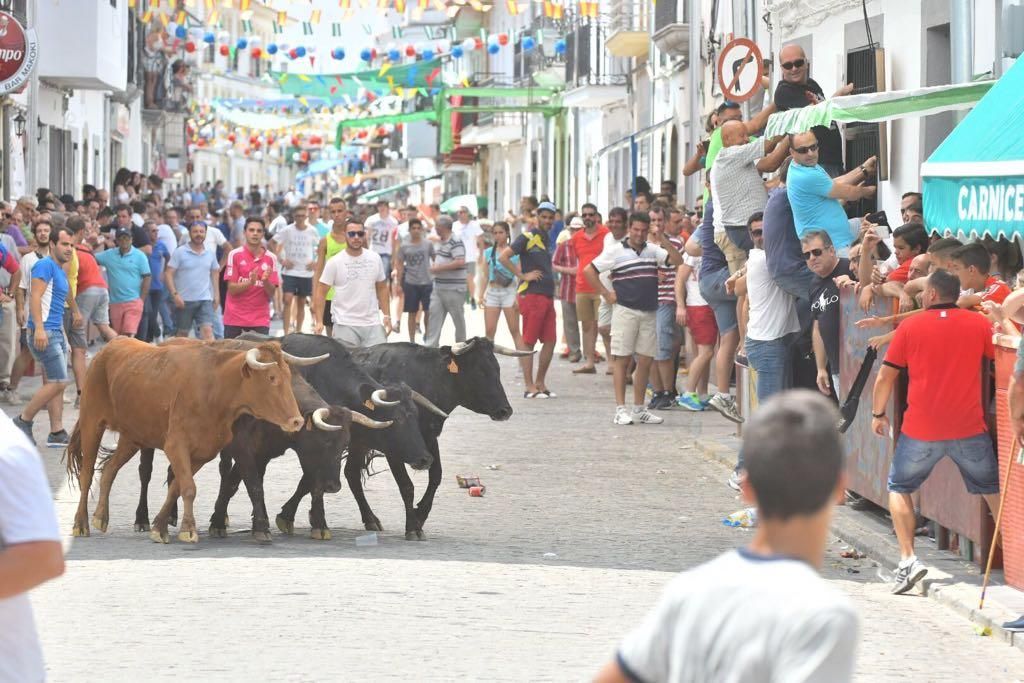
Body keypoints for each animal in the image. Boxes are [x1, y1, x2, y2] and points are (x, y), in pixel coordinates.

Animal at [69, 335, 323, 544]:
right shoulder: (176, 445)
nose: (296, 421)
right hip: (92, 423)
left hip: (132, 437)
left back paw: (101, 516)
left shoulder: (203, 451)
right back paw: (81, 523)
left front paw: (159, 526)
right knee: (87, 474)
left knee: (110, 469)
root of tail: (110, 346)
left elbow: (177, 487)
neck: (214, 388)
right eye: (271, 377)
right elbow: (189, 488)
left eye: (288, 376)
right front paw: (187, 530)